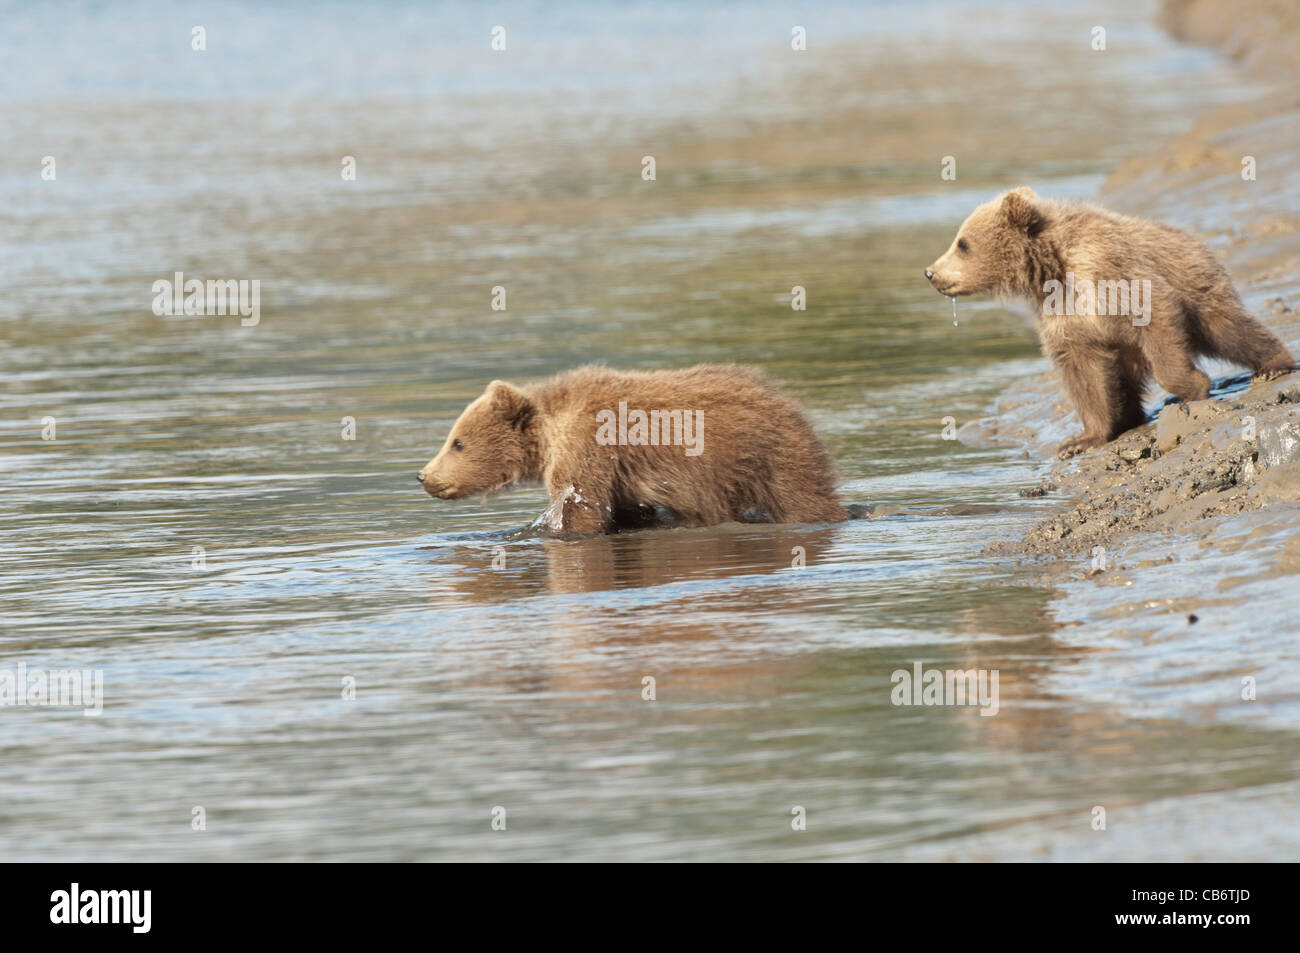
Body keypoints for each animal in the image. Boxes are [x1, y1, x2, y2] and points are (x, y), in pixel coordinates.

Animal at [417, 364, 850, 534]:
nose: (423, 475)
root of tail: (782, 397)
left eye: (457, 442)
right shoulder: (619, 474)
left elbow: (581, 509)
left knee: (802, 496)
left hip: (768, 453)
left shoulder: (587, 447)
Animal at [925, 187, 1295, 457]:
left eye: (962, 243)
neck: (1052, 269)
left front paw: (1191, 388)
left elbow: (1155, 312)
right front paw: (1079, 440)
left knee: (1227, 329)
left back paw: (1273, 364)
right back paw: (1130, 416)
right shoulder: (1062, 315)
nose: (930, 272)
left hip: (1196, 284)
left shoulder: (1111, 273)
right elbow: (1082, 371)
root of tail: (1190, 237)